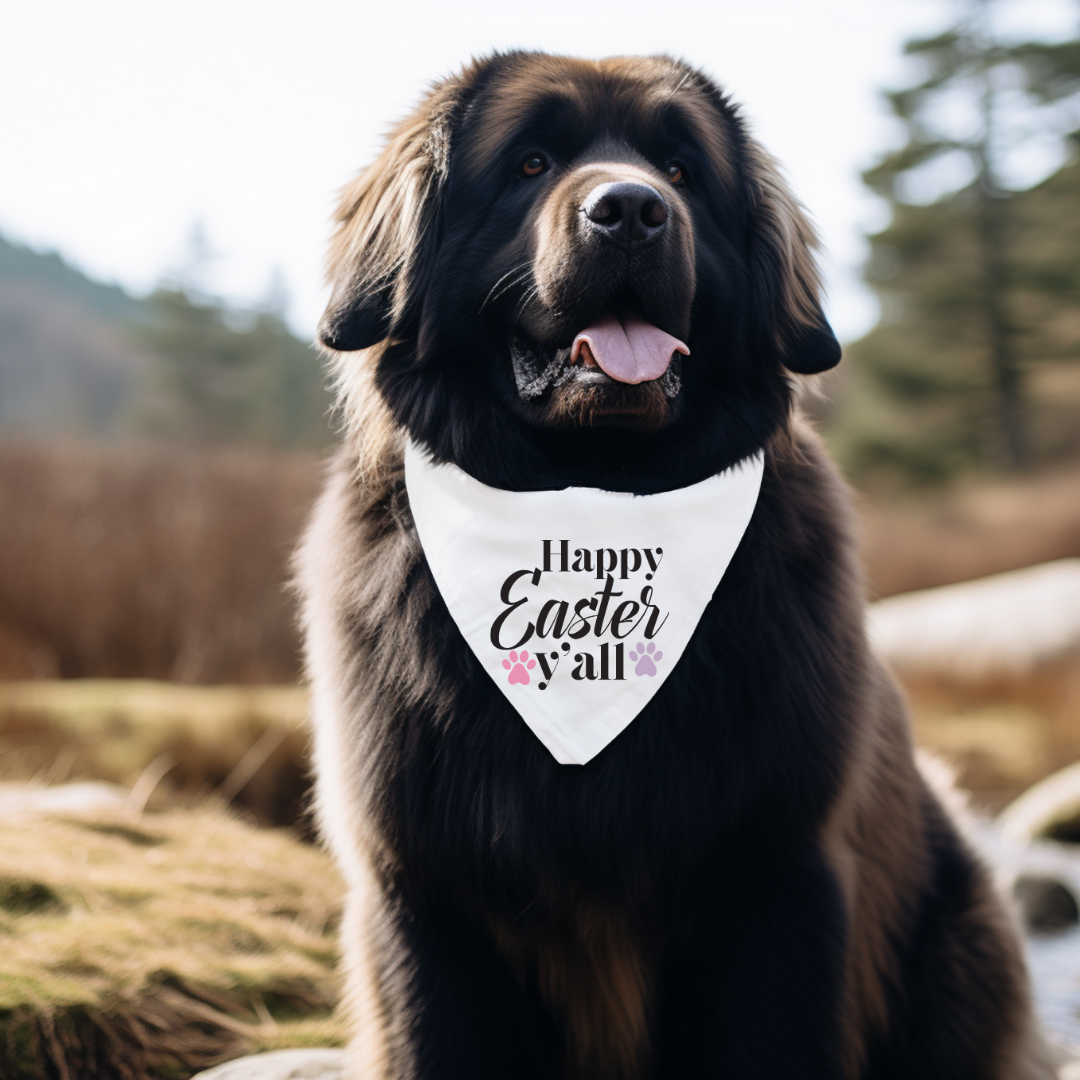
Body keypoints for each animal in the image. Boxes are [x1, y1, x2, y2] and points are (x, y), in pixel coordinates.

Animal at [295, 52, 1054, 1080]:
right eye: (530, 162)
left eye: (683, 171)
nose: (631, 210)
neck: (593, 500)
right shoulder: (425, 899)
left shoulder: (776, 881)